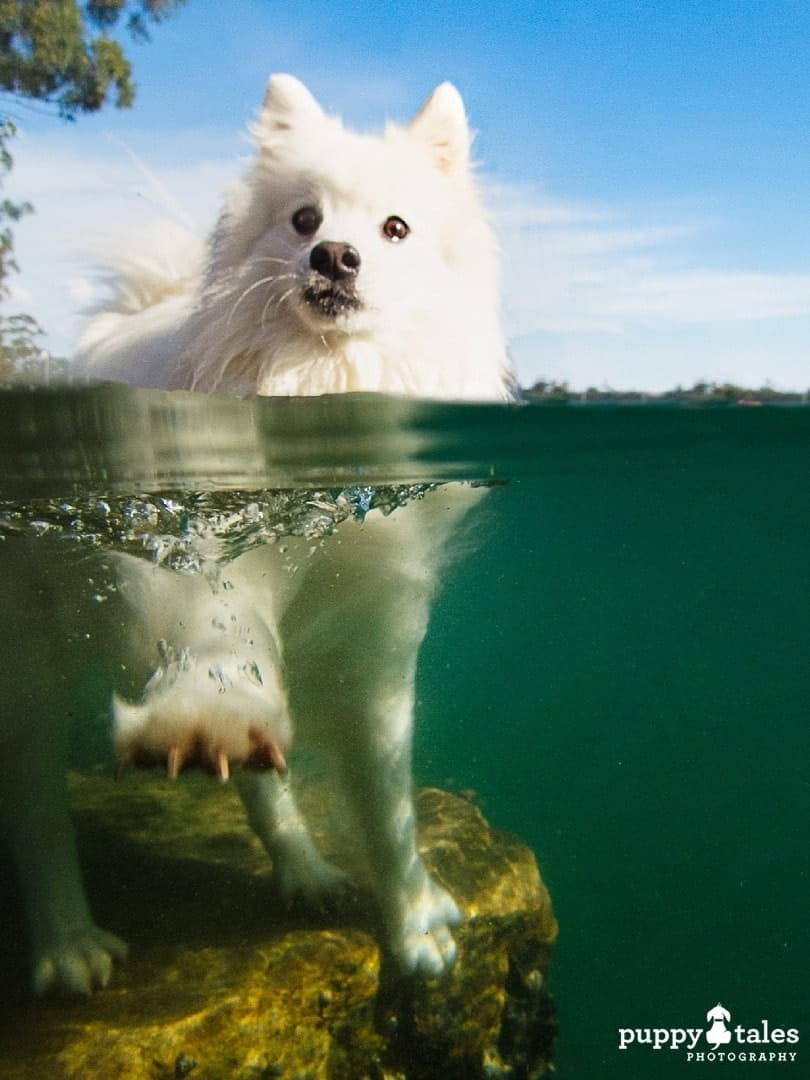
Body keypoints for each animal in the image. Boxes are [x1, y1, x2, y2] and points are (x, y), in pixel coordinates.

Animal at [4, 76, 514, 993]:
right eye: (304, 220)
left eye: (395, 229)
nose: (335, 257)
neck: (317, 381)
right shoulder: (185, 544)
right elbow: (214, 633)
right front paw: (204, 712)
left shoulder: (380, 635)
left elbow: (385, 797)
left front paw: (414, 919)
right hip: (25, 661)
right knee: (36, 809)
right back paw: (68, 946)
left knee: (262, 786)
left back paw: (303, 869)